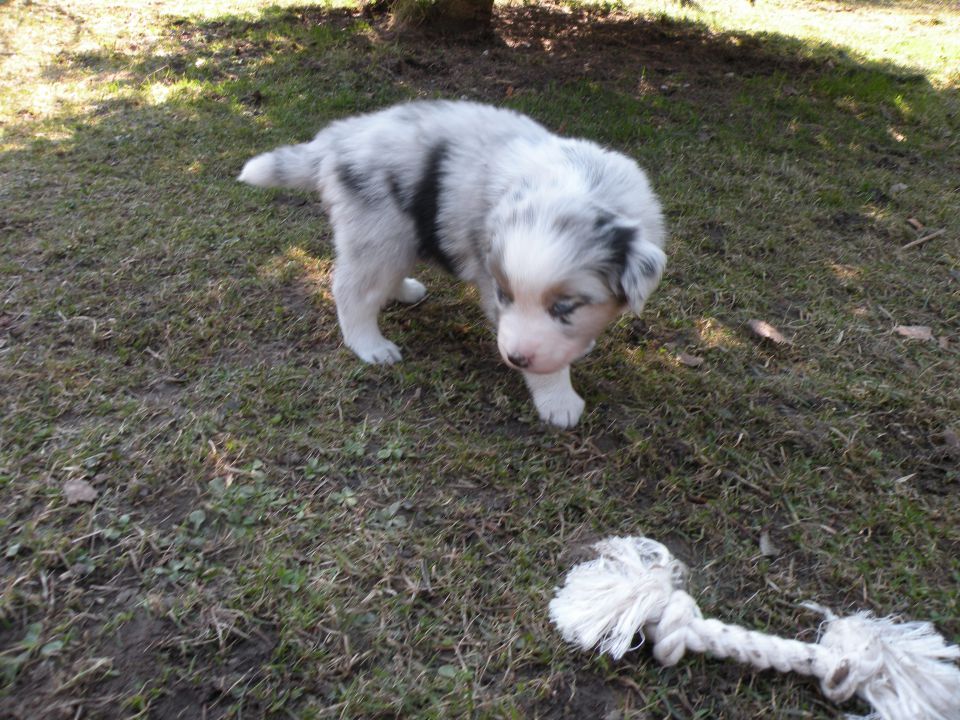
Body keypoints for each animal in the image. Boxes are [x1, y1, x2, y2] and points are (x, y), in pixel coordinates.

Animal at [238, 101, 668, 428]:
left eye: (565, 306)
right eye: (505, 295)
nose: (515, 359)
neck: (581, 187)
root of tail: (337, 138)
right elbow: (545, 365)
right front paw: (558, 401)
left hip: (400, 235)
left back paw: (404, 290)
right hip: (378, 232)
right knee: (351, 291)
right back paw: (370, 345)